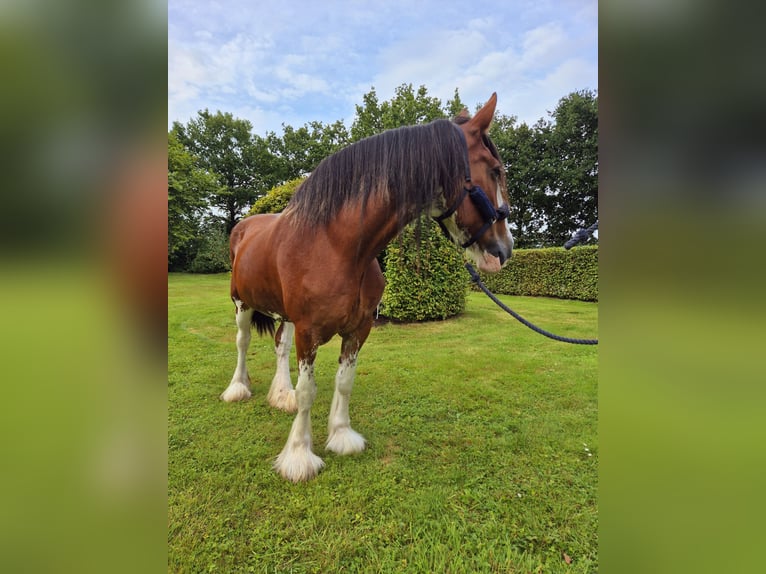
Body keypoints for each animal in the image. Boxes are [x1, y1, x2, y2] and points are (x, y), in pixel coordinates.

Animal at [219, 93, 512, 482]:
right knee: (243, 341)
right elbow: (309, 390)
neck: (338, 246)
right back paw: (238, 389)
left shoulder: (358, 329)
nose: (505, 250)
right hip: (241, 304)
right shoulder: (309, 332)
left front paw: (342, 436)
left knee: (280, 344)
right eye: (495, 170)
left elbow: (344, 381)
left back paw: (282, 395)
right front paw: (299, 456)